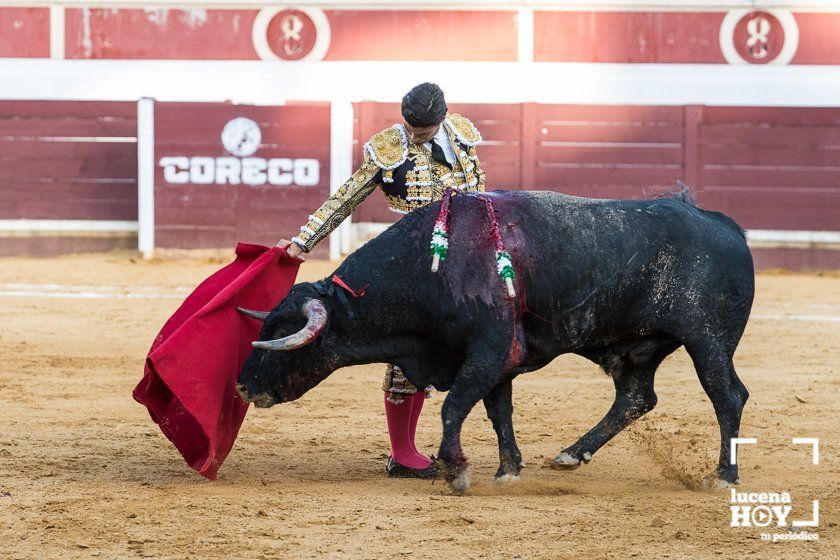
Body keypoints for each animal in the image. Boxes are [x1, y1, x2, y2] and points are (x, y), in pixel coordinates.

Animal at [235, 190, 756, 492]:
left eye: (281, 334)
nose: (241, 385)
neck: (434, 267)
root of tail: (725, 224)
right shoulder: (497, 358)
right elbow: (497, 410)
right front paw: (508, 469)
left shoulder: (489, 350)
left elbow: (454, 406)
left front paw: (456, 470)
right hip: (639, 349)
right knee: (635, 398)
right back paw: (571, 454)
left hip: (707, 341)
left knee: (727, 395)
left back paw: (723, 477)